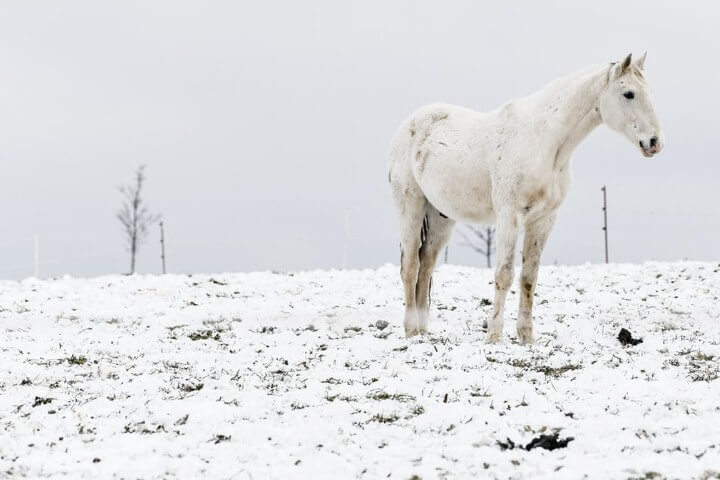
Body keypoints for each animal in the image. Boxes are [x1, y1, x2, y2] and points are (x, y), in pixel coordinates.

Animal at [388, 54, 664, 344]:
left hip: (441, 217)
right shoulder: (509, 217)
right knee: (410, 267)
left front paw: (526, 336)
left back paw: (423, 331)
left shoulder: (542, 220)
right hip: (411, 208)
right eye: (629, 93)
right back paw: (410, 330)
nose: (655, 142)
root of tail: (410, 125)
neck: (543, 142)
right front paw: (494, 336)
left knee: (427, 265)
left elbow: (529, 276)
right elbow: (504, 274)